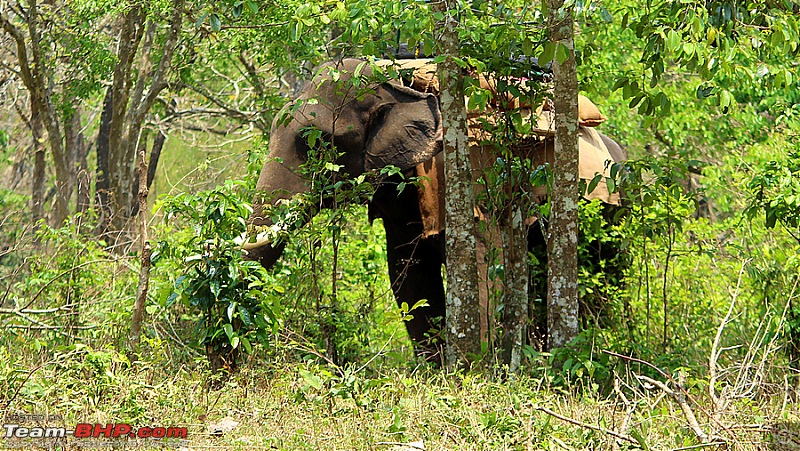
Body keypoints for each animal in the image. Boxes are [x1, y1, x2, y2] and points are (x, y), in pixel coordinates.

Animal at [244, 59, 624, 364]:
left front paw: (477, 368)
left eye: (319, 142)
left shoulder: (466, 176)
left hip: (605, 207)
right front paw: (438, 370)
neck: (397, 85)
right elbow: (408, 273)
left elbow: (486, 264)